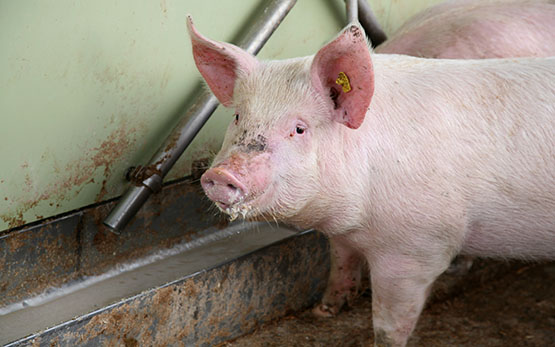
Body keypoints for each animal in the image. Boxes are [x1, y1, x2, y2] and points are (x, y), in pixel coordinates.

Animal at [188, 3, 555, 347]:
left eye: (299, 128)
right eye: (238, 117)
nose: (221, 174)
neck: (352, 217)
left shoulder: (416, 249)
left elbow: (390, 324)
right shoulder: (342, 235)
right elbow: (339, 261)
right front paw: (324, 311)